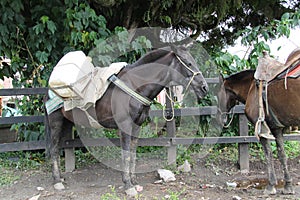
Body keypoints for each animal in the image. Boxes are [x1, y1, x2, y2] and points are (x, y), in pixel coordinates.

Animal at [47, 45, 209, 195]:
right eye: (188, 63)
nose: (204, 87)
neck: (136, 86)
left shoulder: (137, 126)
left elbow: (132, 153)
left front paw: (133, 181)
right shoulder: (124, 126)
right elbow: (125, 155)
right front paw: (128, 186)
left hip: (66, 123)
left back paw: (60, 178)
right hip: (55, 122)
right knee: (53, 148)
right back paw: (57, 182)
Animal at [217, 55, 300, 195]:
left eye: (218, 96)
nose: (220, 118)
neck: (251, 87)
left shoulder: (262, 131)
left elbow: (268, 155)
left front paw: (271, 186)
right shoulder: (277, 128)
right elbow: (282, 155)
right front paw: (288, 185)